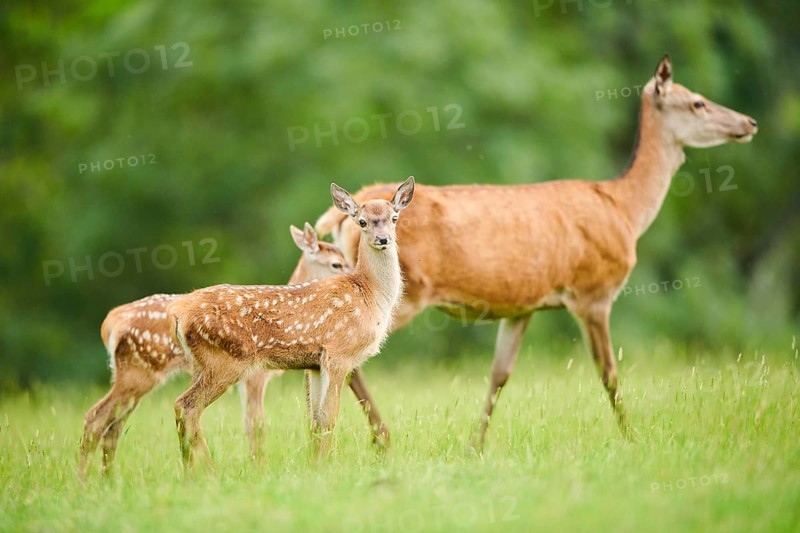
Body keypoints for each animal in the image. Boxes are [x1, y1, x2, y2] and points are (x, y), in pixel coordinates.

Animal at [78, 223, 373, 478]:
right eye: (335, 263)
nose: (353, 275)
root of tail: (111, 322)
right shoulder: (255, 377)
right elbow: (256, 425)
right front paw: (258, 467)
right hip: (141, 371)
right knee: (100, 418)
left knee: (113, 425)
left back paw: (106, 480)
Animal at [169, 177, 414, 466]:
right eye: (362, 221)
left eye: (394, 217)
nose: (382, 239)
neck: (369, 293)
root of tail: (179, 312)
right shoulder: (339, 354)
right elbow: (330, 417)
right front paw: (326, 465)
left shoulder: (316, 364)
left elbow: (316, 421)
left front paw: (317, 465)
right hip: (226, 360)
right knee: (187, 406)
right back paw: (208, 469)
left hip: (200, 364)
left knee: (183, 408)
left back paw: (191, 468)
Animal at [312, 56, 758, 450]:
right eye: (697, 102)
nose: (749, 122)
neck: (625, 211)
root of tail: (344, 214)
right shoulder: (594, 292)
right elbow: (609, 373)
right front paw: (633, 437)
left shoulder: (521, 307)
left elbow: (499, 375)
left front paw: (475, 445)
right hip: (408, 293)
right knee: (352, 361)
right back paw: (382, 438)